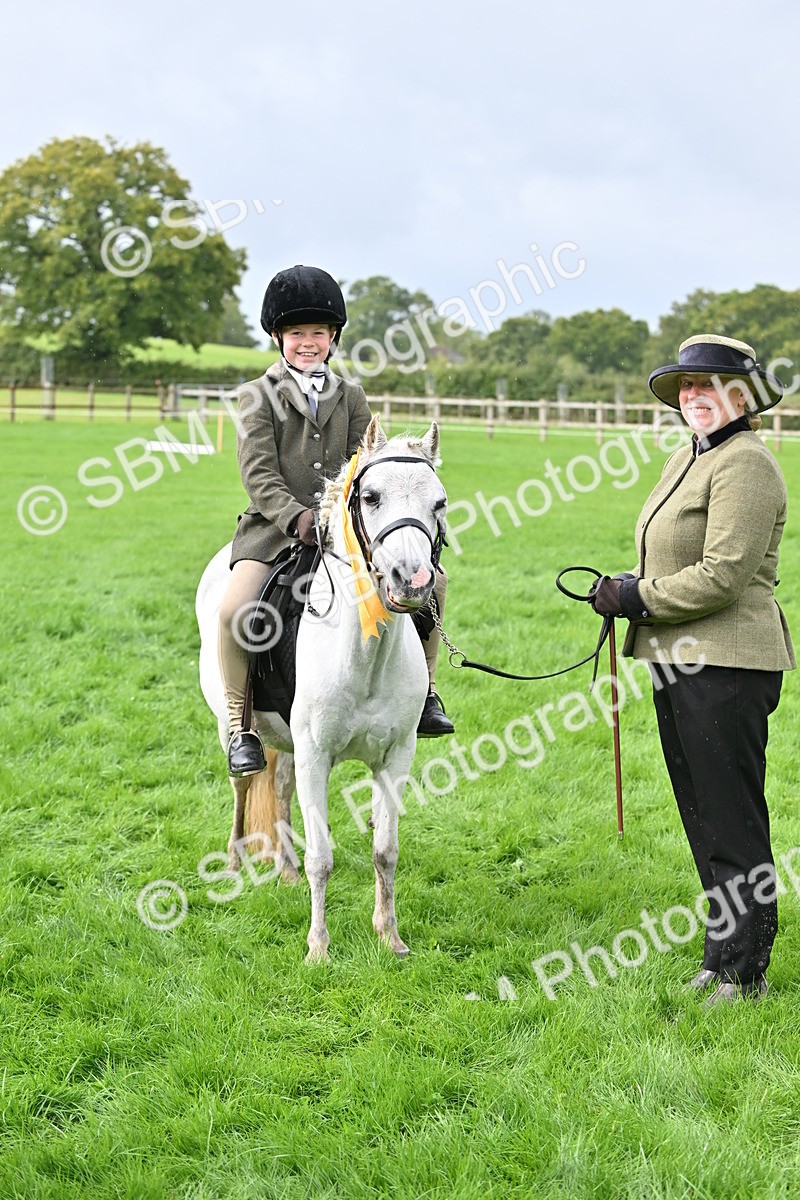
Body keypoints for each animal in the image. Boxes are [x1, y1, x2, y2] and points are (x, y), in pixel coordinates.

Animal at [196, 416, 447, 962]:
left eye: (439, 503)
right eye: (370, 496)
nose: (413, 580)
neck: (365, 655)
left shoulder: (396, 754)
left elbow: (385, 850)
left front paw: (389, 936)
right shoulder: (316, 754)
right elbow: (322, 857)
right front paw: (318, 949)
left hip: (289, 744)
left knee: (281, 789)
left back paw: (285, 869)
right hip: (236, 728)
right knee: (243, 784)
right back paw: (234, 860)